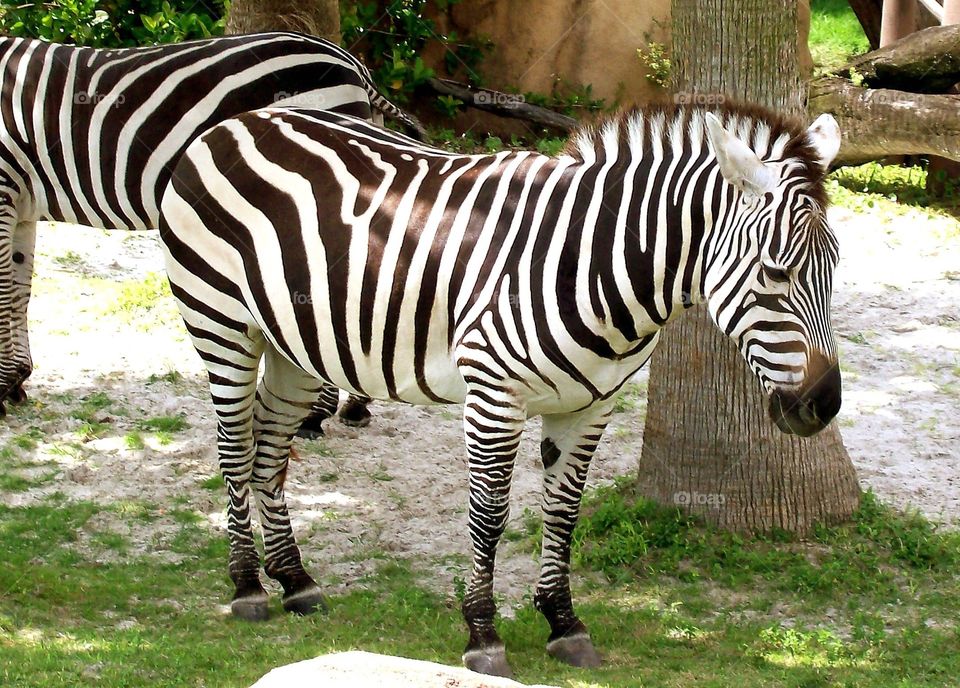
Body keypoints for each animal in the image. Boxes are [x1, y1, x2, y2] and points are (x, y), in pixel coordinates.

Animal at [0, 31, 412, 422]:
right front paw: (17, 381)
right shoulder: (20, 204)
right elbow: (20, 290)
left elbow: (5, 291)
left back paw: (318, 413)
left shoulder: (4, 188)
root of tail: (351, 63)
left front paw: (3, 388)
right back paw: (353, 406)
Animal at [158, 102, 843, 676]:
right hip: (222, 324)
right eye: (775, 273)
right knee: (233, 451)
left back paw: (295, 580)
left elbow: (564, 513)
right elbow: (488, 518)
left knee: (270, 452)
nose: (824, 405)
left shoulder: (592, 406)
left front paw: (564, 623)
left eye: (834, 272)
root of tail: (237, 121)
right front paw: (483, 636)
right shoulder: (493, 392)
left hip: (295, 345)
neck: (596, 265)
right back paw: (248, 587)